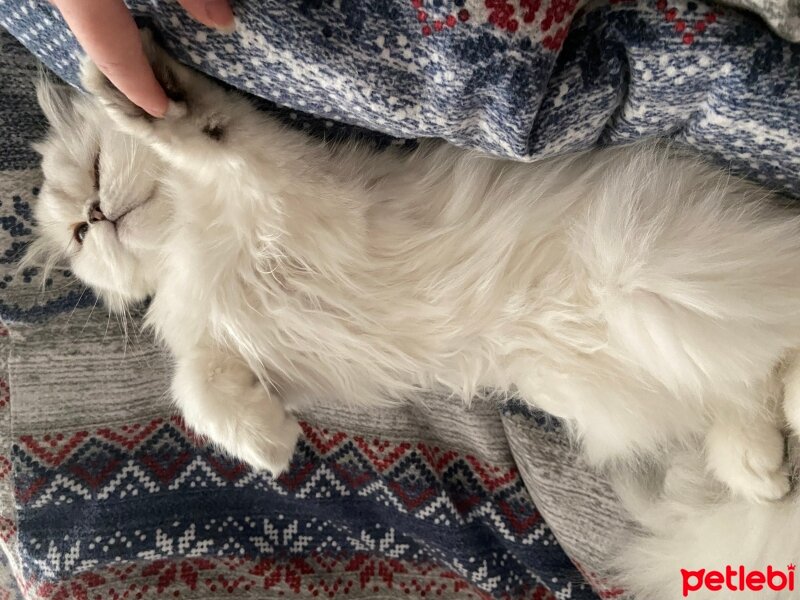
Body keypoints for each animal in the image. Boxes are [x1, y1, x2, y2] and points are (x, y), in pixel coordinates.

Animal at [28, 31, 800, 506]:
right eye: (78, 234)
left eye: (95, 169)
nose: (95, 213)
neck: (193, 236)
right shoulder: (224, 339)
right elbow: (197, 386)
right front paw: (268, 442)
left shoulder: (281, 186)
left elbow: (201, 131)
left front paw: (130, 94)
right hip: (625, 372)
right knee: (745, 398)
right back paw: (764, 475)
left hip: (655, 290)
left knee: (774, 362)